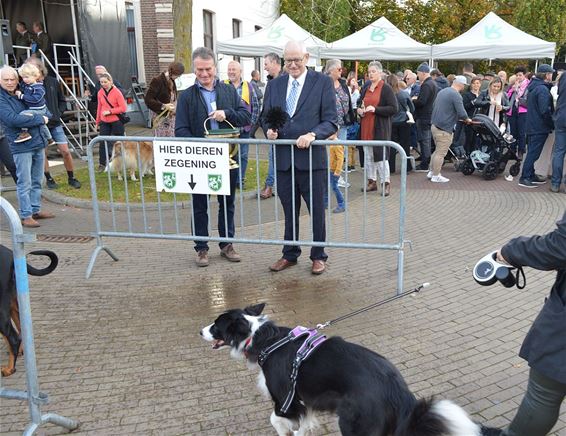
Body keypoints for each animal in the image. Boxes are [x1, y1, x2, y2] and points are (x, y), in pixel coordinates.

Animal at [200, 304, 502, 434]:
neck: (264, 340)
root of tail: (399, 391)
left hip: (352, 422)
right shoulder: (304, 401)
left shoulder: (285, 400)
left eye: (216, 325)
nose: (199, 331)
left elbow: (276, 420)